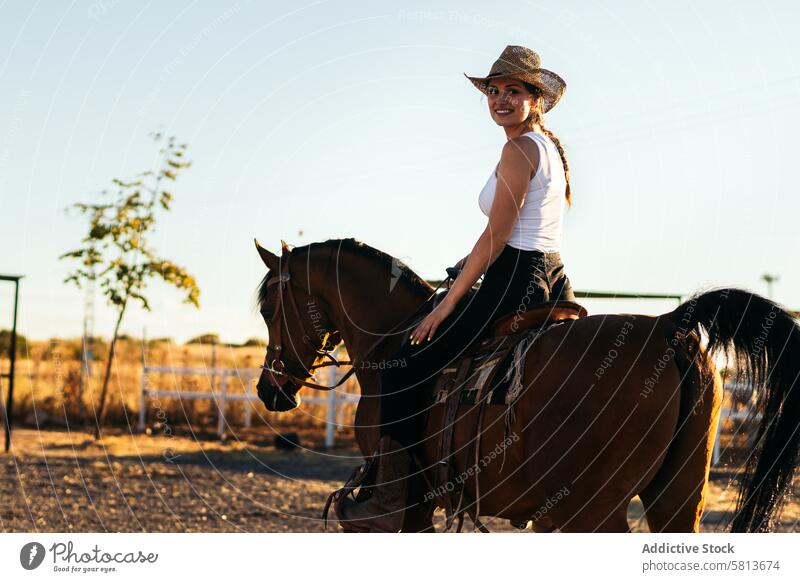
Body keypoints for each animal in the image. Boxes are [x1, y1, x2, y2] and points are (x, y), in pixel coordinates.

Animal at [255, 237, 800, 532]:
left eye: (267, 308)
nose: (269, 390)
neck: (393, 338)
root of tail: (669, 324)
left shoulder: (413, 503)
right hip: (678, 497)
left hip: (593, 511)